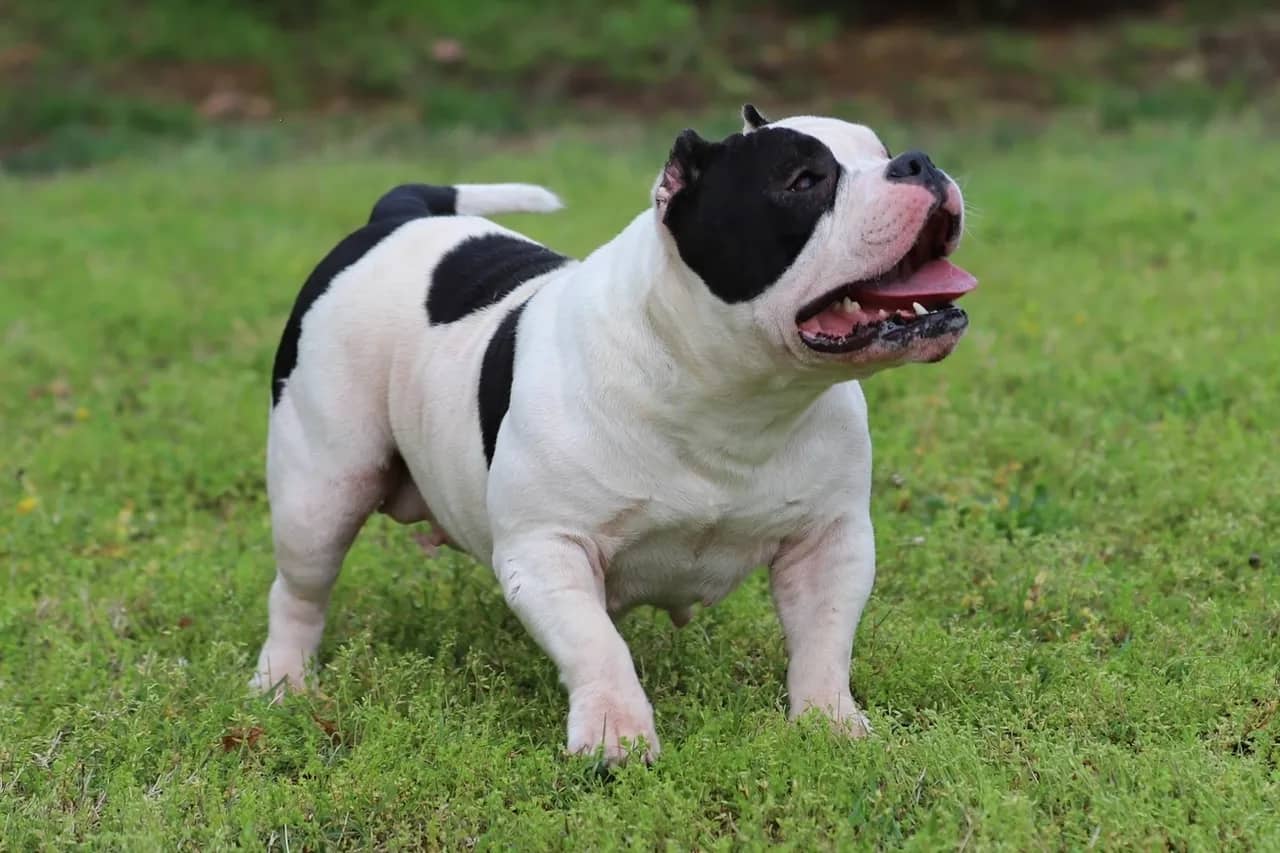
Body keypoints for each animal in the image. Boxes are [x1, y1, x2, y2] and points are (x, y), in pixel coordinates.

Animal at [257, 103, 977, 758]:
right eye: (803, 181)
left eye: (882, 149)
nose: (918, 161)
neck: (736, 397)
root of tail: (399, 214)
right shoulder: (548, 548)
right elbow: (597, 643)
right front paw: (615, 732)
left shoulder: (831, 540)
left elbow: (825, 640)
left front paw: (830, 725)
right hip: (321, 489)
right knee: (300, 590)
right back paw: (284, 683)